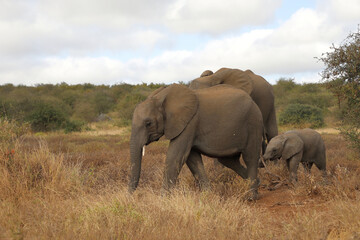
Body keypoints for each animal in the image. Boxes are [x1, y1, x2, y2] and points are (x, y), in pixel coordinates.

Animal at [129, 83, 262, 200]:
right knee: (228, 160)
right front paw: (208, 196)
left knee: (250, 158)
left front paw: (163, 200)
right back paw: (258, 183)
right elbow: (192, 159)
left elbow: (175, 157)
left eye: (148, 123)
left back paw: (252, 196)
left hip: (253, 123)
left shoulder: (189, 123)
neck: (161, 97)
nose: (130, 197)